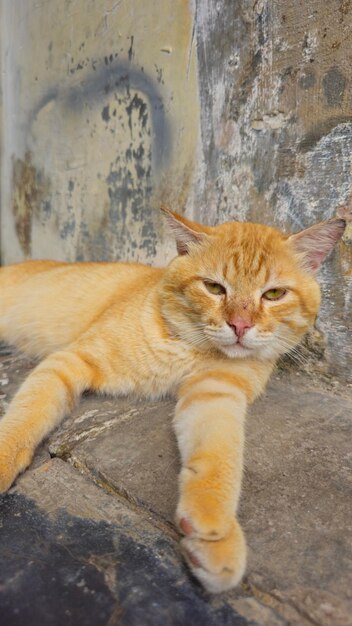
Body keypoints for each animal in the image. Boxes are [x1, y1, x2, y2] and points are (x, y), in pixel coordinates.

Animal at [0, 208, 346, 588]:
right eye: (214, 288)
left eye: (274, 294)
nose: (240, 326)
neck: (191, 346)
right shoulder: (68, 361)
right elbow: (25, 417)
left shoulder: (215, 392)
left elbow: (221, 455)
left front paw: (217, 533)